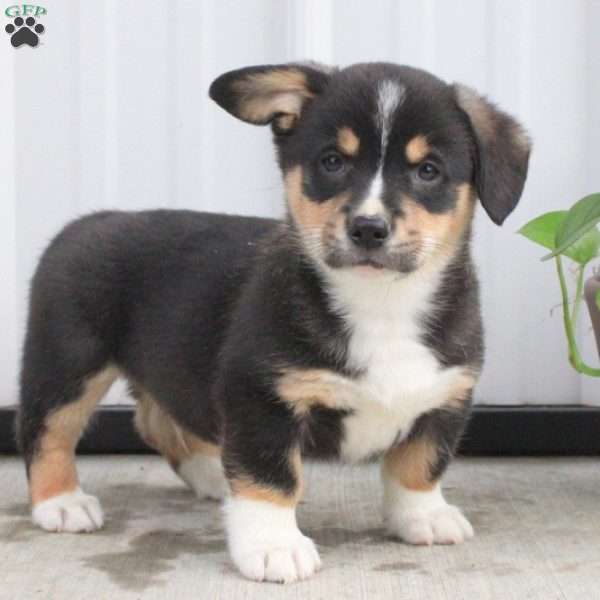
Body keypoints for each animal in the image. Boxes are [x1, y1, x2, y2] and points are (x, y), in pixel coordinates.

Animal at [16, 61, 528, 580]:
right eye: (332, 162)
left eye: (428, 171)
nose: (368, 229)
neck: (382, 302)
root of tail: (86, 222)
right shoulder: (261, 396)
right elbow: (272, 478)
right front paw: (273, 546)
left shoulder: (445, 398)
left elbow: (419, 466)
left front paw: (424, 517)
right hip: (67, 361)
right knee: (46, 430)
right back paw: (61, 503)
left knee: (156, 419)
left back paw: (212, 474)